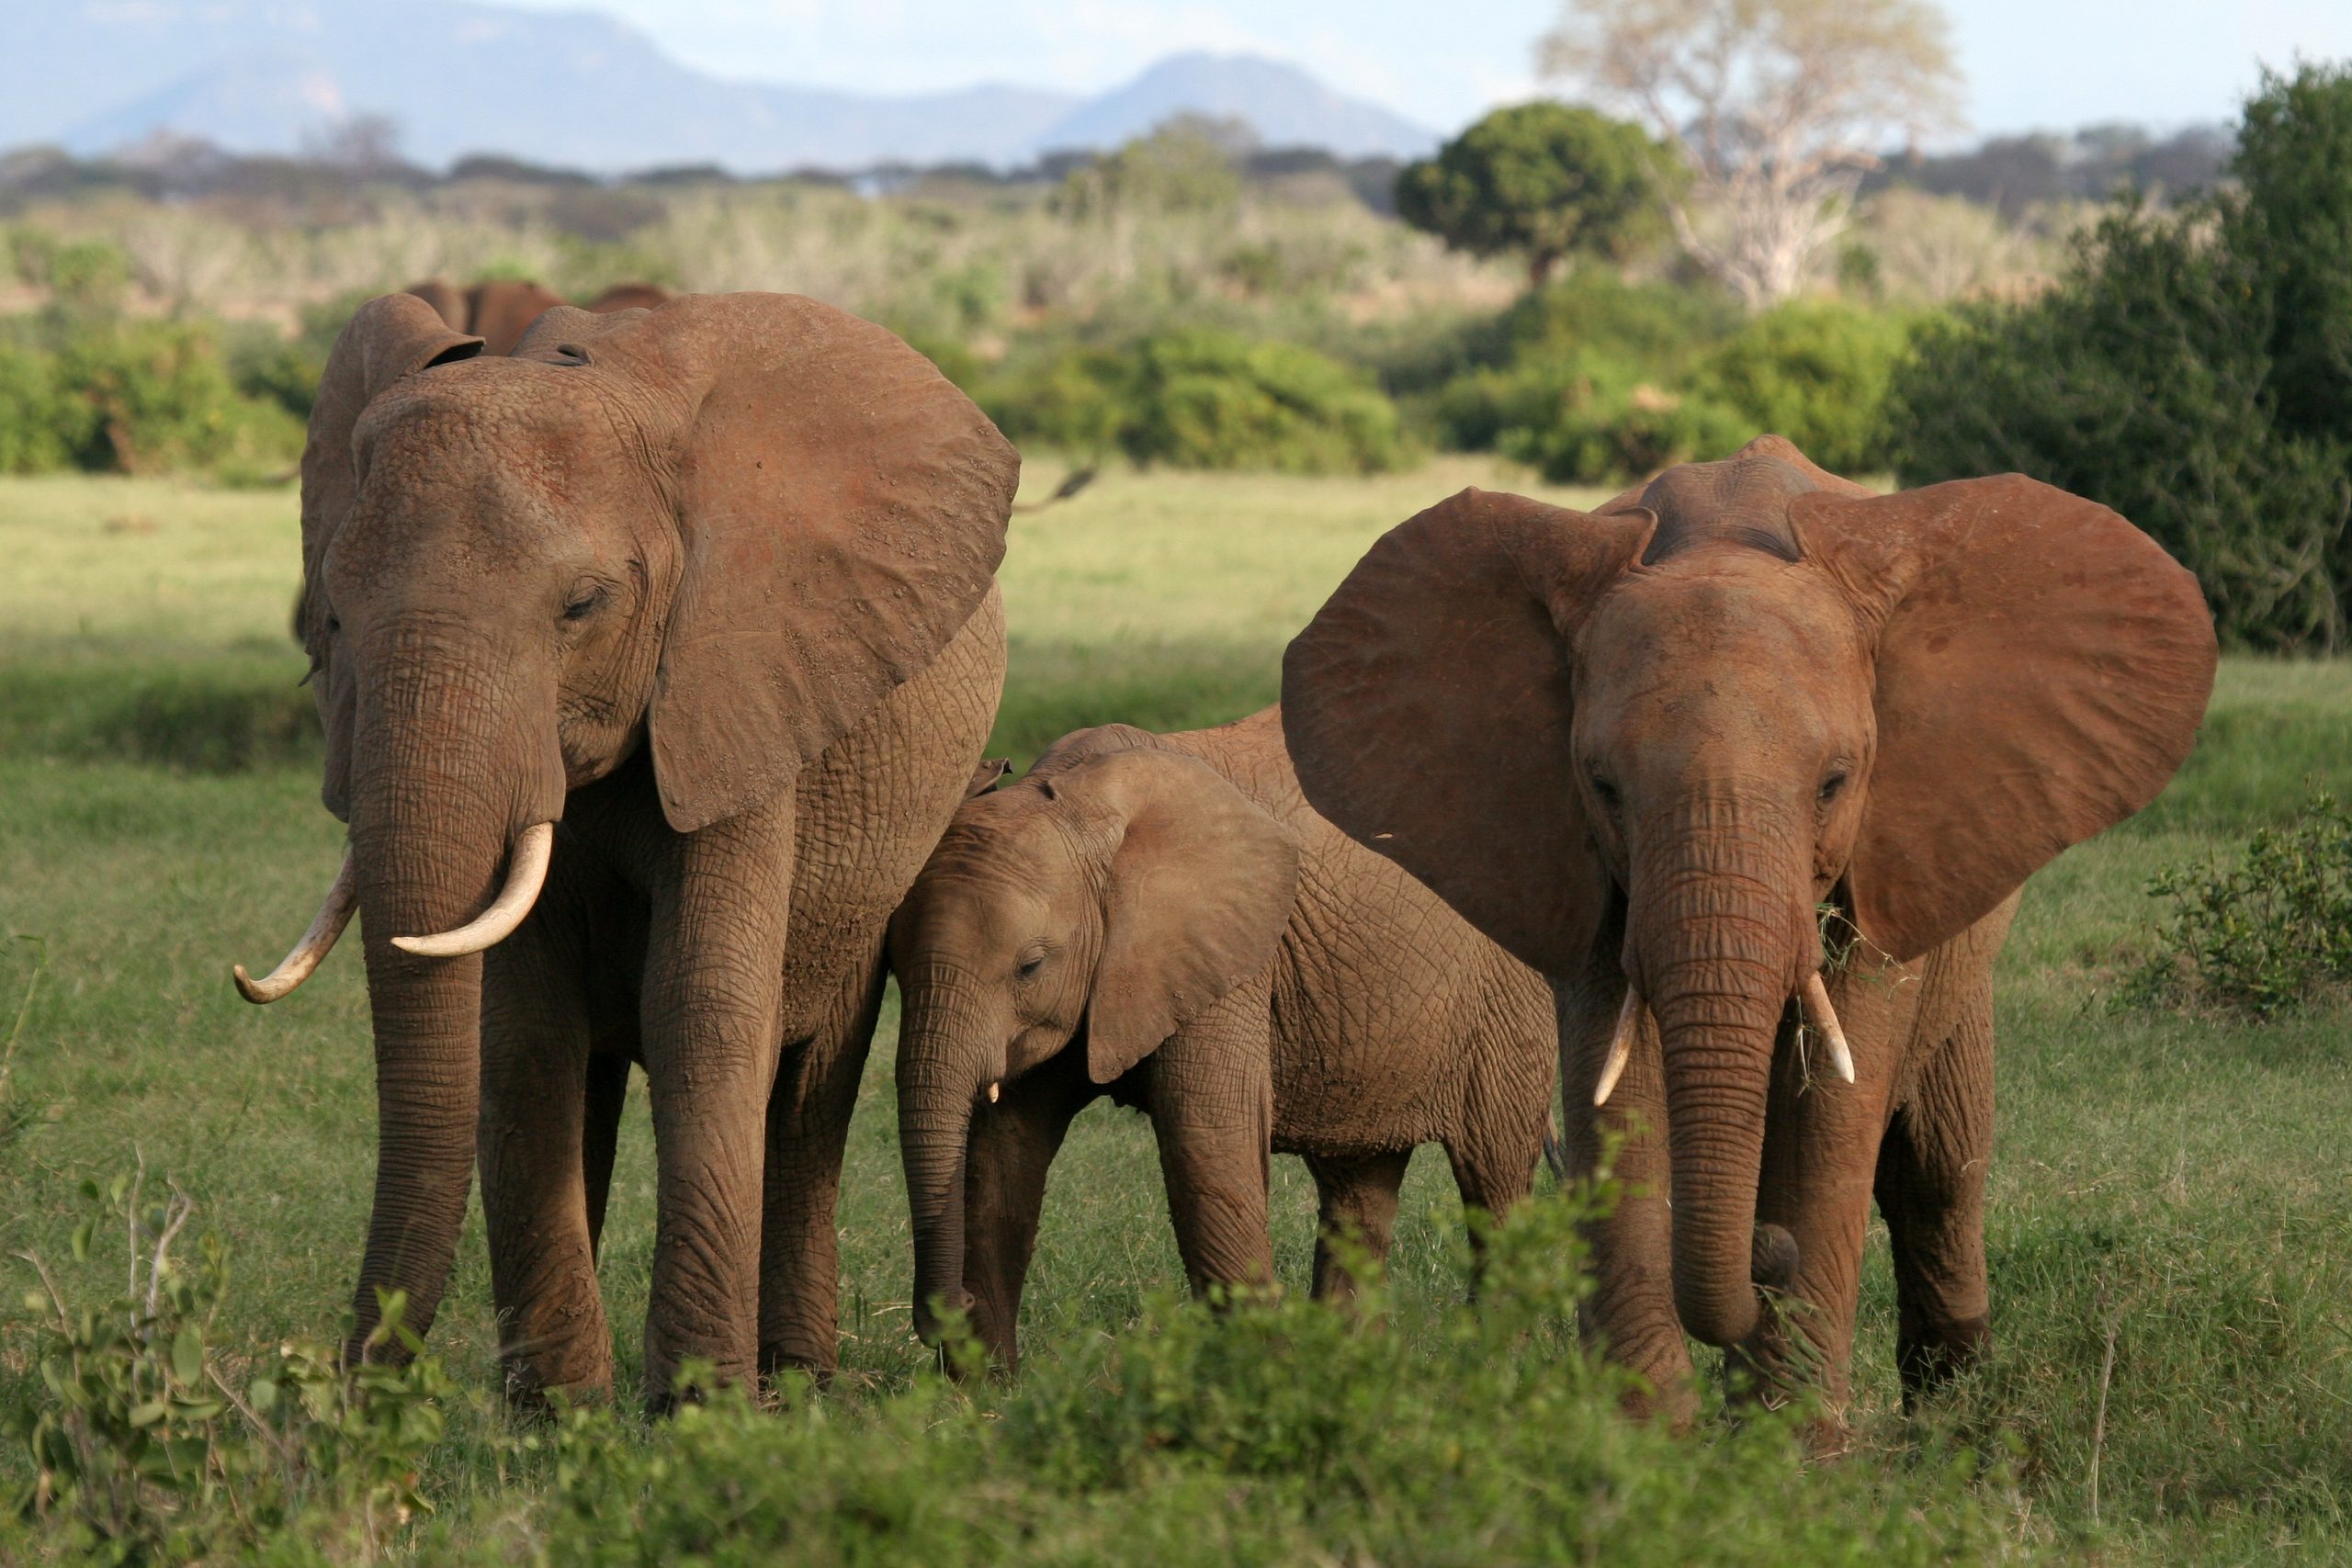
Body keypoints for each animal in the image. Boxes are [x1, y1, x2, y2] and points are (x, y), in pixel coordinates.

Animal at [229, 288, 1021, 1401]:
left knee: (811, 1083)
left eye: (582, 606)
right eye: (333, 619)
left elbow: (702, 1007)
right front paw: (558, 1411)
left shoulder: (742, 680)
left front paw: (701, 1406)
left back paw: (796, 1379)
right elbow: (524, 1029)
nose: (350, 1385)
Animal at [884, 705, 1561, 1363]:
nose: (949, 1309)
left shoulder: (1225, 959)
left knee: (1494, 1174)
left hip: (1510, 989)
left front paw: (1257, 1379)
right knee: (1358, 1188)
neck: (1079, 802)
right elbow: (1004, 1154)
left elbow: (1205, 1137)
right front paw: (993, 1391)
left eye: (1030, 966)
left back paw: (1495, 1363)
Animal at [1279, 434, 2211, 1429]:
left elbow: (1838, 1106)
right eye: (1602, 785)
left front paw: (1791, 1446)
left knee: (1938, 1168)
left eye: (1836, 782)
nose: (1766, 1252)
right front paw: (1653, 1443)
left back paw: (1950, 1413)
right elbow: (1615, 1088)